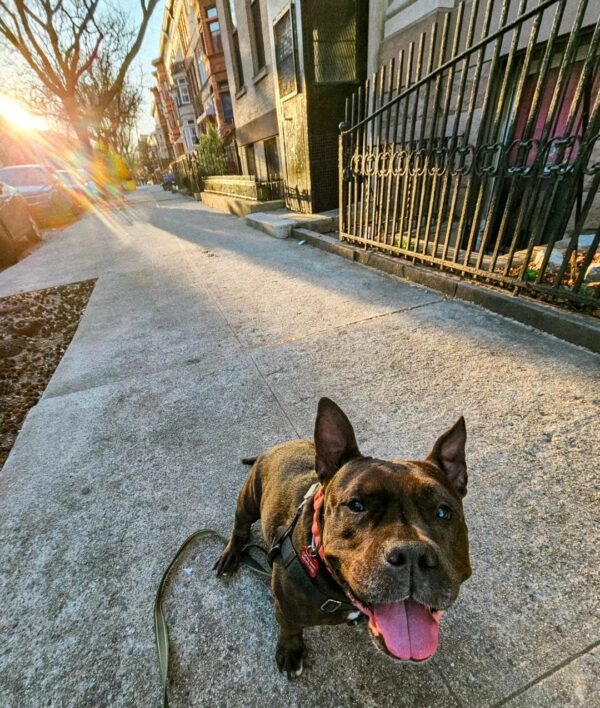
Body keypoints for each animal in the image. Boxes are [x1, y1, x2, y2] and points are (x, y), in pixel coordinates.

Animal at [213, 396, 472, 676]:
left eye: (443, 512)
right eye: (356, 505)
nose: (412, 554)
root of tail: (279, 445)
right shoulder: (285, 608)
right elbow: (289, 628)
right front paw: (291, 651)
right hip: (249, 497)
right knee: (240, 527)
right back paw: (230, 555)